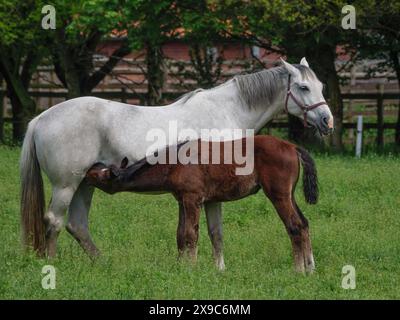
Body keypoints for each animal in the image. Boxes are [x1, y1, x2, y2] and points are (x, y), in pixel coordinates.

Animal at [86, 135, 318, 272]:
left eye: (98, 175)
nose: (87, 171)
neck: (176, 162)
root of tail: (292, 146)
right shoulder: (191, 201)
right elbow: (186, 235)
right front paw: (184, 266)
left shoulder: (192, 199)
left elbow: (191, 234)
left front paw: (191, 268)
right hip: (289, 195)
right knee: (304, 224)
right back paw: (311, 267)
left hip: (279, 196)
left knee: (294, 226)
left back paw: (298, 270)